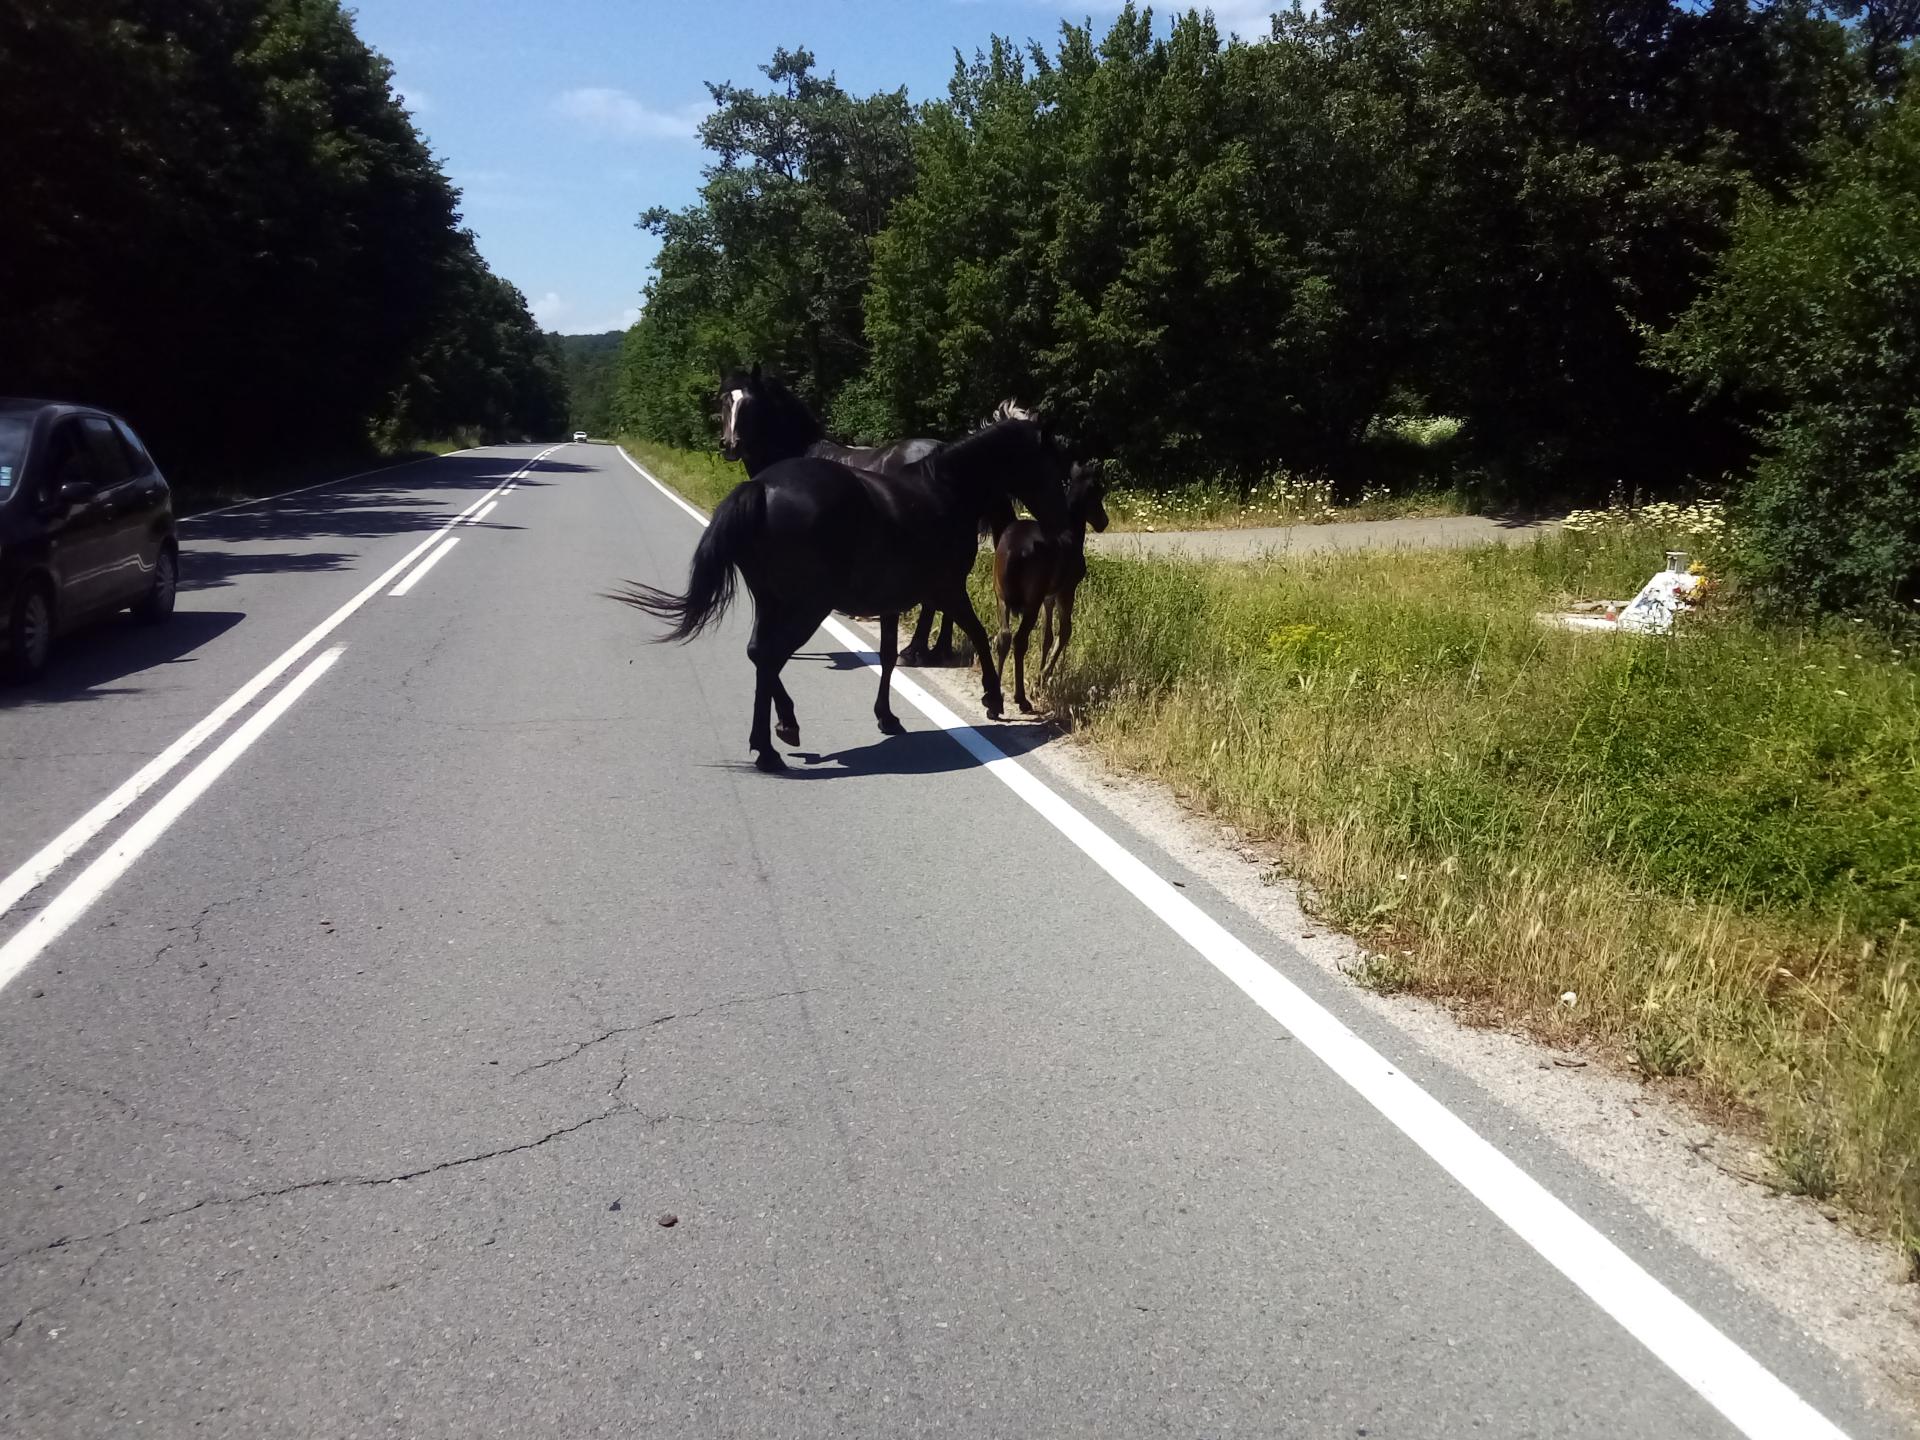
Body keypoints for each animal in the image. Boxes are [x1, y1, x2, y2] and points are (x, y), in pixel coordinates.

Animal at [609, 417, 1075, 772]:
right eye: (1054, 467)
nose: (1060, 524)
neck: (944, 489)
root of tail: (761, 488)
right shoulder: (946, 590)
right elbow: (978, 634)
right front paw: (992, 697)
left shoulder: (892, 601)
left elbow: (888, 657)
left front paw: (887, 716)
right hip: (807, 606)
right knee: (769, 656)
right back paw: (775, 741)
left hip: (775, 602)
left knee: (760, 654)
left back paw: (776, 735)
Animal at [992, 461, 1109, 714]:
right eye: (1098, 492)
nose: (1104, 521)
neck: (1072, 533)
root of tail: (1014, 550)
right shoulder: (1067, 590)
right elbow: (1064, 632)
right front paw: (1041, 680)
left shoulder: (1049, 596)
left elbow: (1047, 636)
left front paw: (1040, 678)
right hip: (1031, 601)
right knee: (1019, 640)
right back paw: (1021, 699)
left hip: (1002, 595)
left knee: (1003, 637)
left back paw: (994, 701)